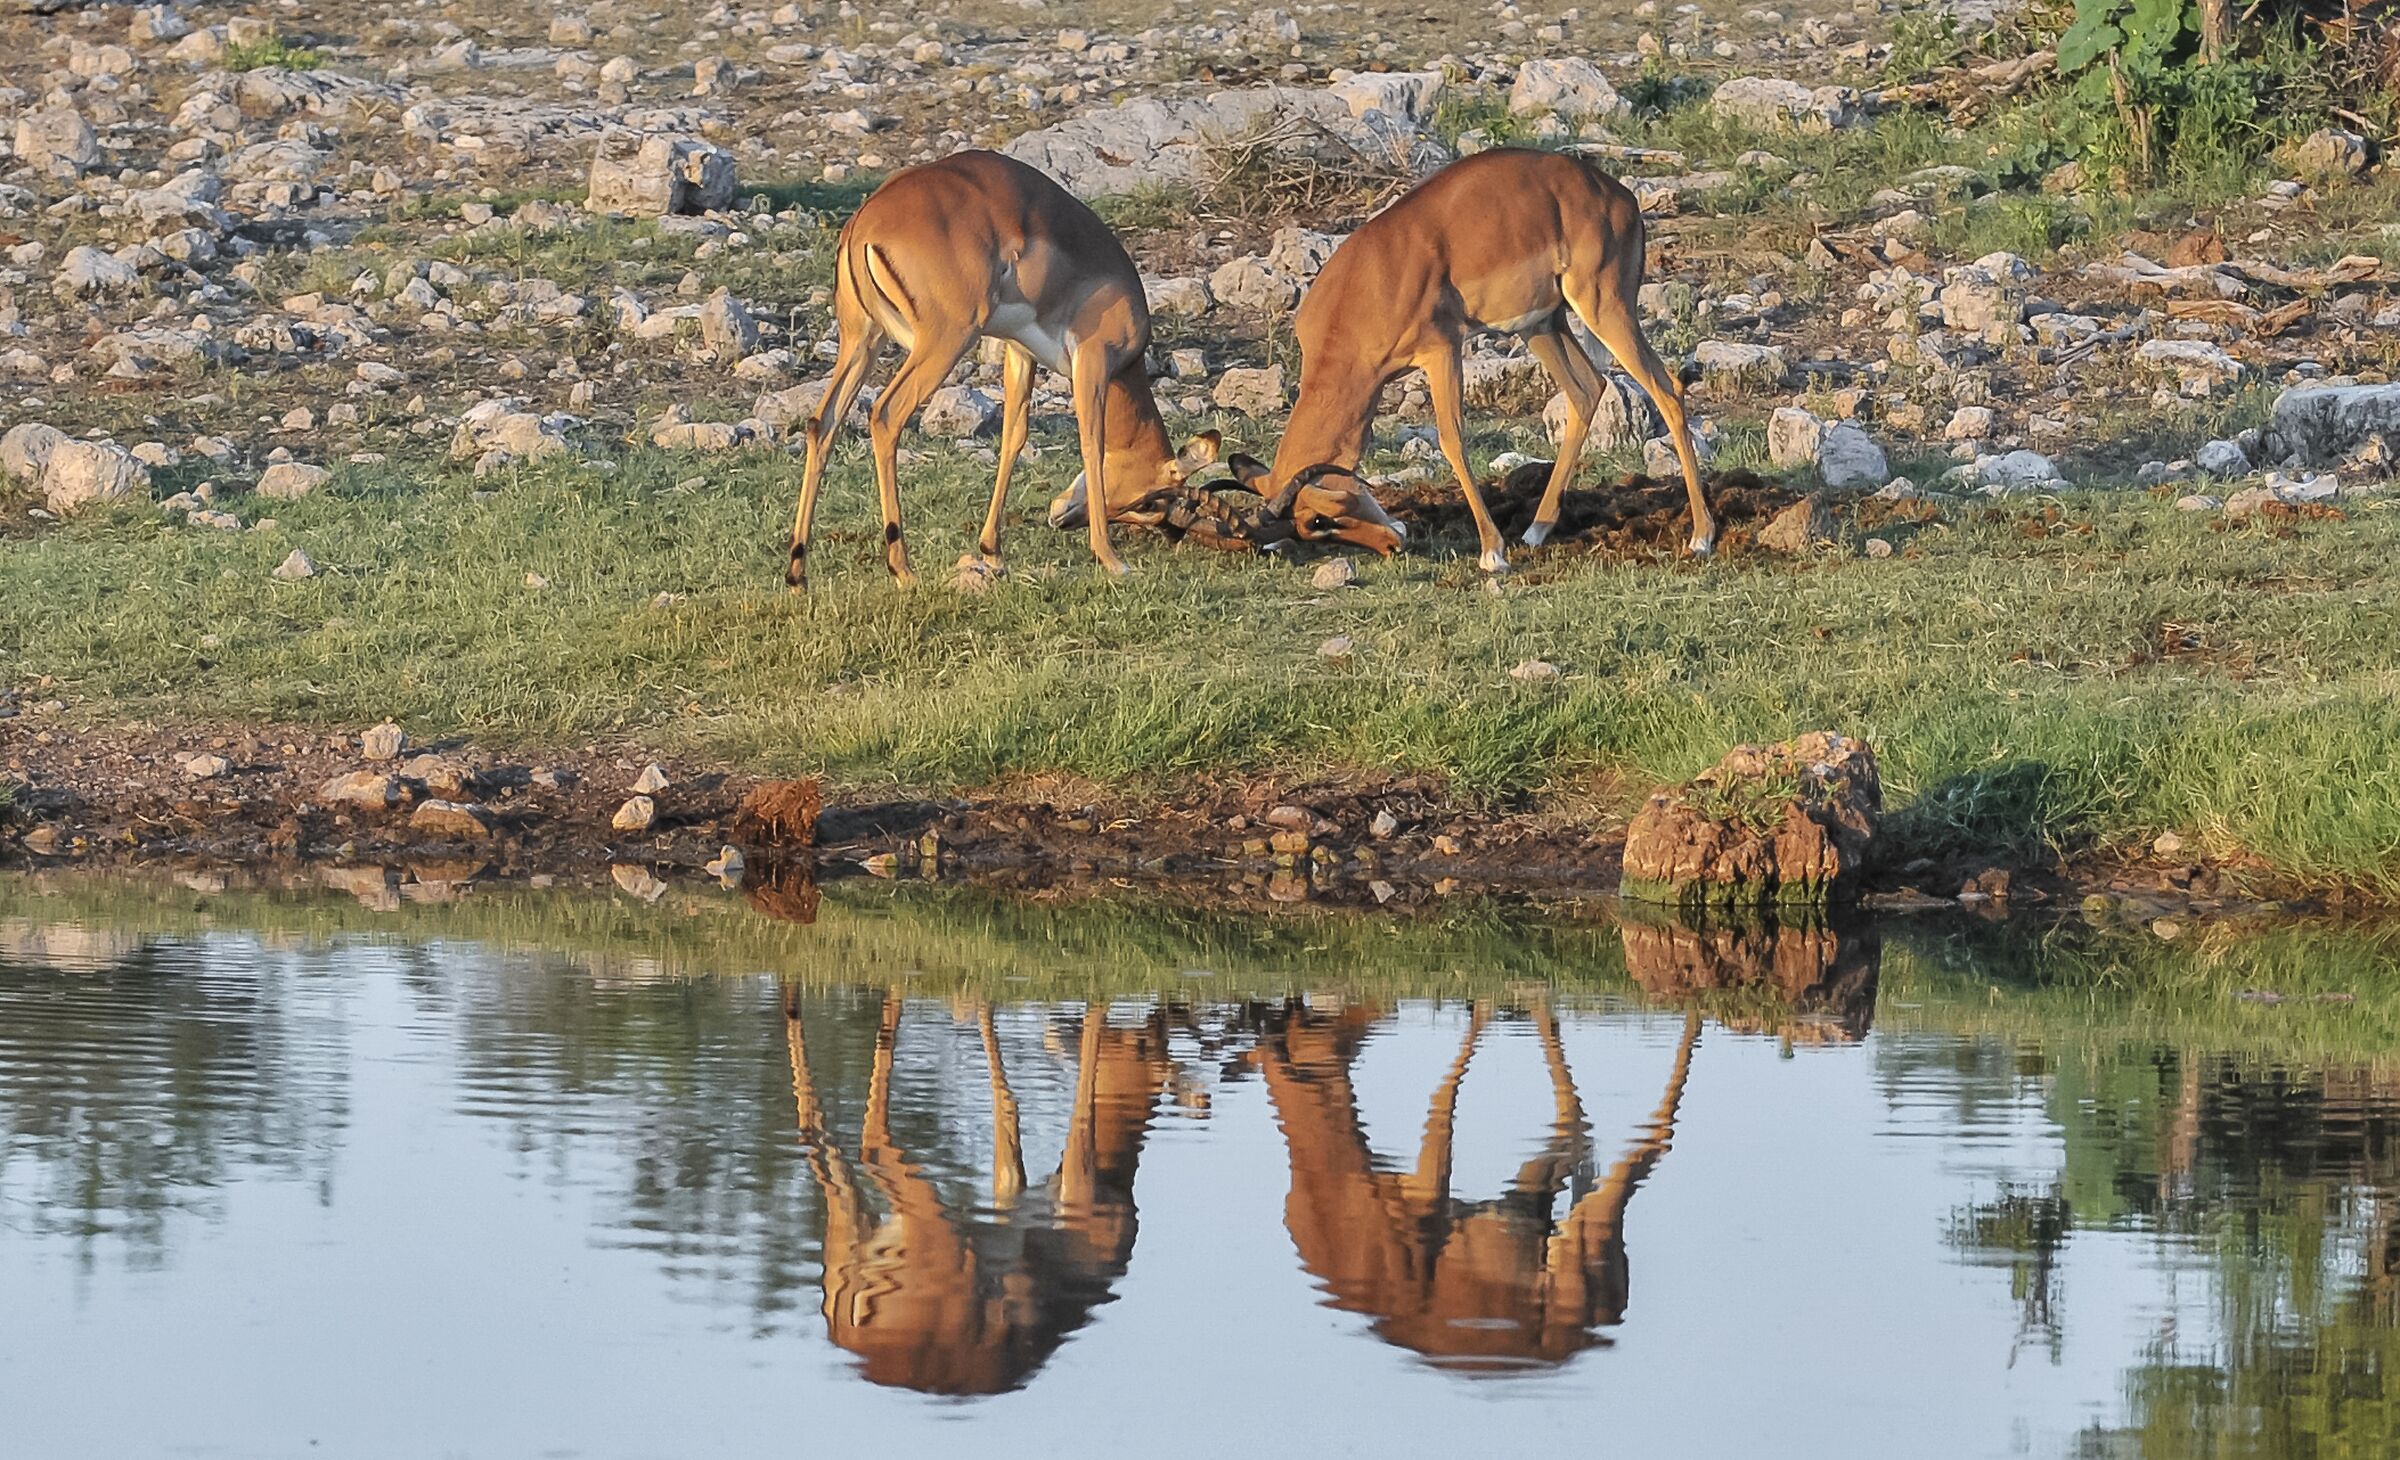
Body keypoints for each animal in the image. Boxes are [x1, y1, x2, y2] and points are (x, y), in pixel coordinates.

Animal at [786, 151, 1224, 589]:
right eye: (1149, 502)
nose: (1064, 518)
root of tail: (864, 220)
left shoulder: (1020, 352)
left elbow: (1014, 437)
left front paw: (992, 551)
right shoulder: (1093, 360)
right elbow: (1091, 442)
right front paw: (1110, 558)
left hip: (863, 339)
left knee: (822, 423)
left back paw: (797, 573)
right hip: (946, 340)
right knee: (885, 415)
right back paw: (902, 567)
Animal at [1265, 147, 1716, 572]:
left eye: (1321, 520)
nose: (1393, 544)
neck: (1369, 282)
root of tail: (1621, 196)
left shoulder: (1442, 350)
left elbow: (1451, 439)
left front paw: (1492, 553)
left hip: (1603, 306)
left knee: (1667, 390)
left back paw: (1701, 537)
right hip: (1542, 324)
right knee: (1588, 389)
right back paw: (1536, 530)